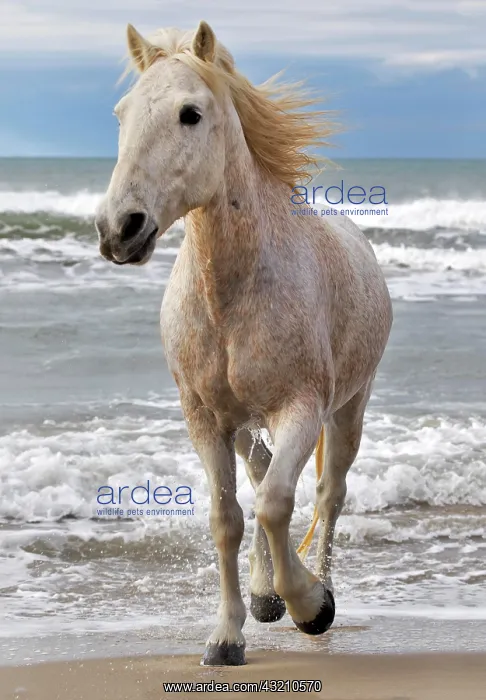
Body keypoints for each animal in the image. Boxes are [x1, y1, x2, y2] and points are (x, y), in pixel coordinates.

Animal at [95, 20, 393, 667]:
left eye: (190, 113)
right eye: (121, 113)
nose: (118, 228)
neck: (232, 294)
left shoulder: (300, 409)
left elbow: (279, 502)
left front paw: (310, 604)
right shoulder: (205, 418)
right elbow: (227, 517)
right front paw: (230, 632)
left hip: (348, 410)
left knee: (328, 495)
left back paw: (316, 587)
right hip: (242, 424)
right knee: (259, 474)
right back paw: (263, 593)